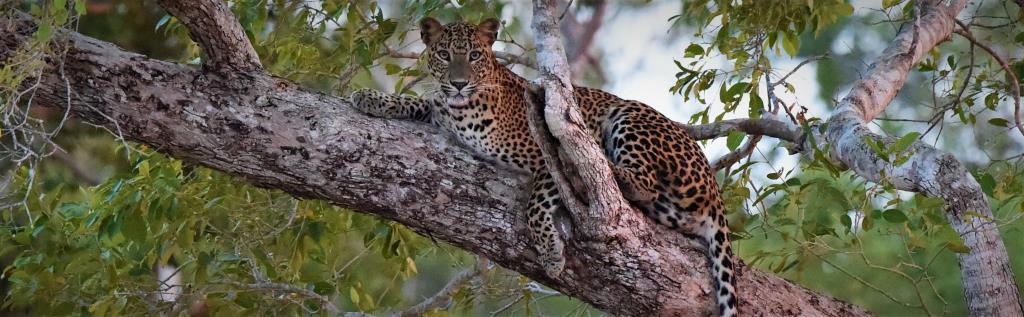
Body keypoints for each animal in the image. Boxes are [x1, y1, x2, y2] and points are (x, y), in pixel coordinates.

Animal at [350, 17, 737, 317]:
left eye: (474, 55)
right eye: (444, 55)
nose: (459, 83)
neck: (462, 109)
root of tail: (716, 193)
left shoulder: (550, 154)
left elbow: (537, 203)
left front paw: (550, 253)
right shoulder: (440, 112)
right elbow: (419, 103)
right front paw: (370, 98)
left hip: (631, 115)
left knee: (641, 181)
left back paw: (603, 167)